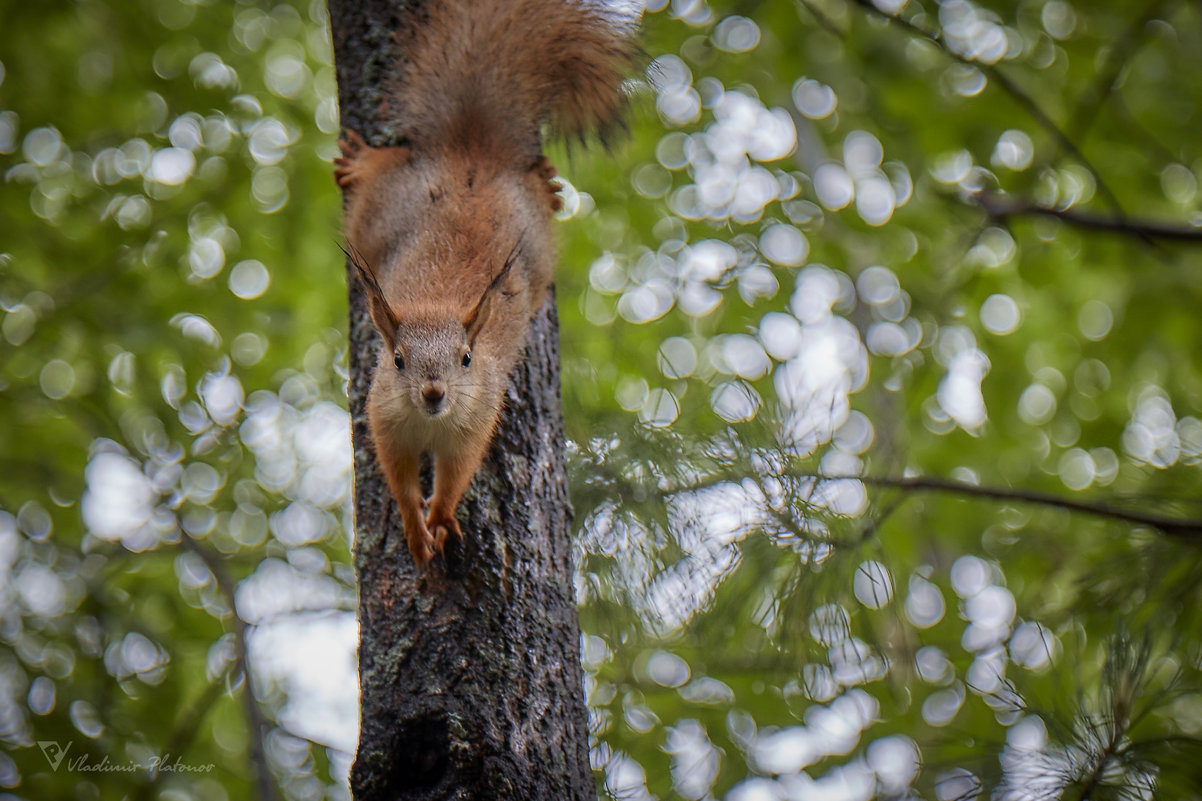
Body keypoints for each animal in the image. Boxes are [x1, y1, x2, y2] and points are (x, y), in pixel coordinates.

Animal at [334, 0, 634, 565]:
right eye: (397, 360)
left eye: (467, 358)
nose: (434, 393)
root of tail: (470, 154)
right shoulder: (384, 418)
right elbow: (398, 477)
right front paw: (414, 528)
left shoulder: (476, 419)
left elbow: (456, 475)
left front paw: (439, 518)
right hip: (382, 210)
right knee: (380, 173)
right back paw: (362, 160)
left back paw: (546, 183)